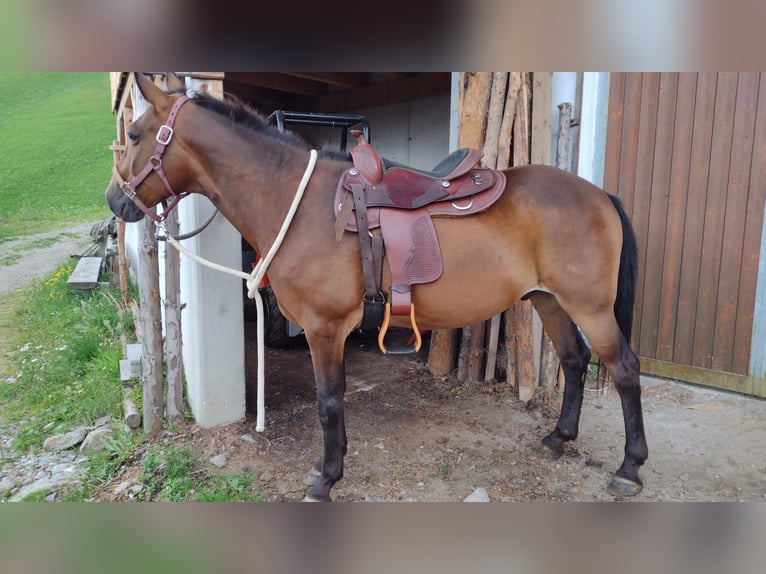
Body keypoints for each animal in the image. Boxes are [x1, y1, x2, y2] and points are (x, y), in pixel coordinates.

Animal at [105, 73, 647, 501]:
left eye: (134, 133)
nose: (115, 201)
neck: (297, 203)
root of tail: (599, 194)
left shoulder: (324, 329)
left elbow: (328, 403)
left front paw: (327, 479)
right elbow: (335, 403)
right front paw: (331, 465)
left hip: (590, 306)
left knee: (624, 369)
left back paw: (630, 467)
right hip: (548, 300)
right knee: (575, 360)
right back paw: (559, 438)